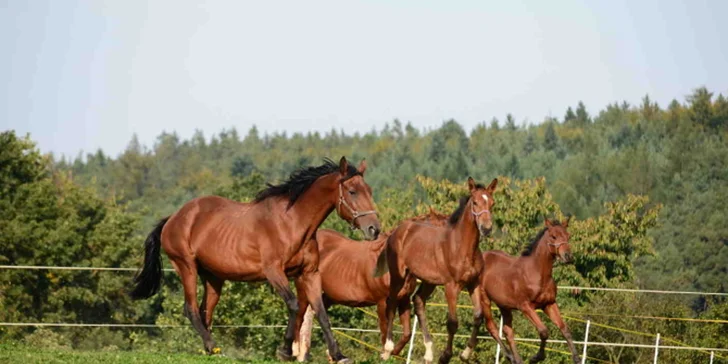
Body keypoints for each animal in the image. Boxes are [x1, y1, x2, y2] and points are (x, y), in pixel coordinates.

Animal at [129, 156, 382, 362]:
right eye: (352, 191)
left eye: (369, 190)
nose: (374, 229)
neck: (292, 223)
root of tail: (174, 217)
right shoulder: (274, 272)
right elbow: (294, 305)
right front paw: (285, 351)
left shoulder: (309, 274)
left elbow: (319, 311)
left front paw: (339, 355)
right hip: (186, 267)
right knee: (190, 308)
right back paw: (214, 347)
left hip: (213, 278)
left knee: (204, 311)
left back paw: (210, 350)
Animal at [292, 208, 450, 362]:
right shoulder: (382, 302)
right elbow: (384, 332)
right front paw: (385, 353)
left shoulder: (404, 300)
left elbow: (406, 333)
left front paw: (393, 351)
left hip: (330, 296)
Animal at [372, 177, 498, 364]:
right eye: (475, 202)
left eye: (492, 203)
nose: (487, 228)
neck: (461, 247)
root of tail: (397, 231)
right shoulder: (451, 286)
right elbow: (452, 322)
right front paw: (445, 356)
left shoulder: (473, 283)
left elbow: (478, 315)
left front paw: (465, 353)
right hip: (399, 275)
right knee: (392, 302)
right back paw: (387, 349)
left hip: (427, 281)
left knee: (418, 301)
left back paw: (428, 352)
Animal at [478, 218, 580, 364]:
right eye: (553, 236)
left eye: (568, 236)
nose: (568, 257)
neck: (536, 273)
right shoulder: (525, 306)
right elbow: (543, 330)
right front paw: (537, 357)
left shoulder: (549, 304)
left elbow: (564, 328)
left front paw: (577, 358)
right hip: (485, 299)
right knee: (491, 327)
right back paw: (510, 356)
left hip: (504, 305)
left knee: (508, 331)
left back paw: (517, 360)